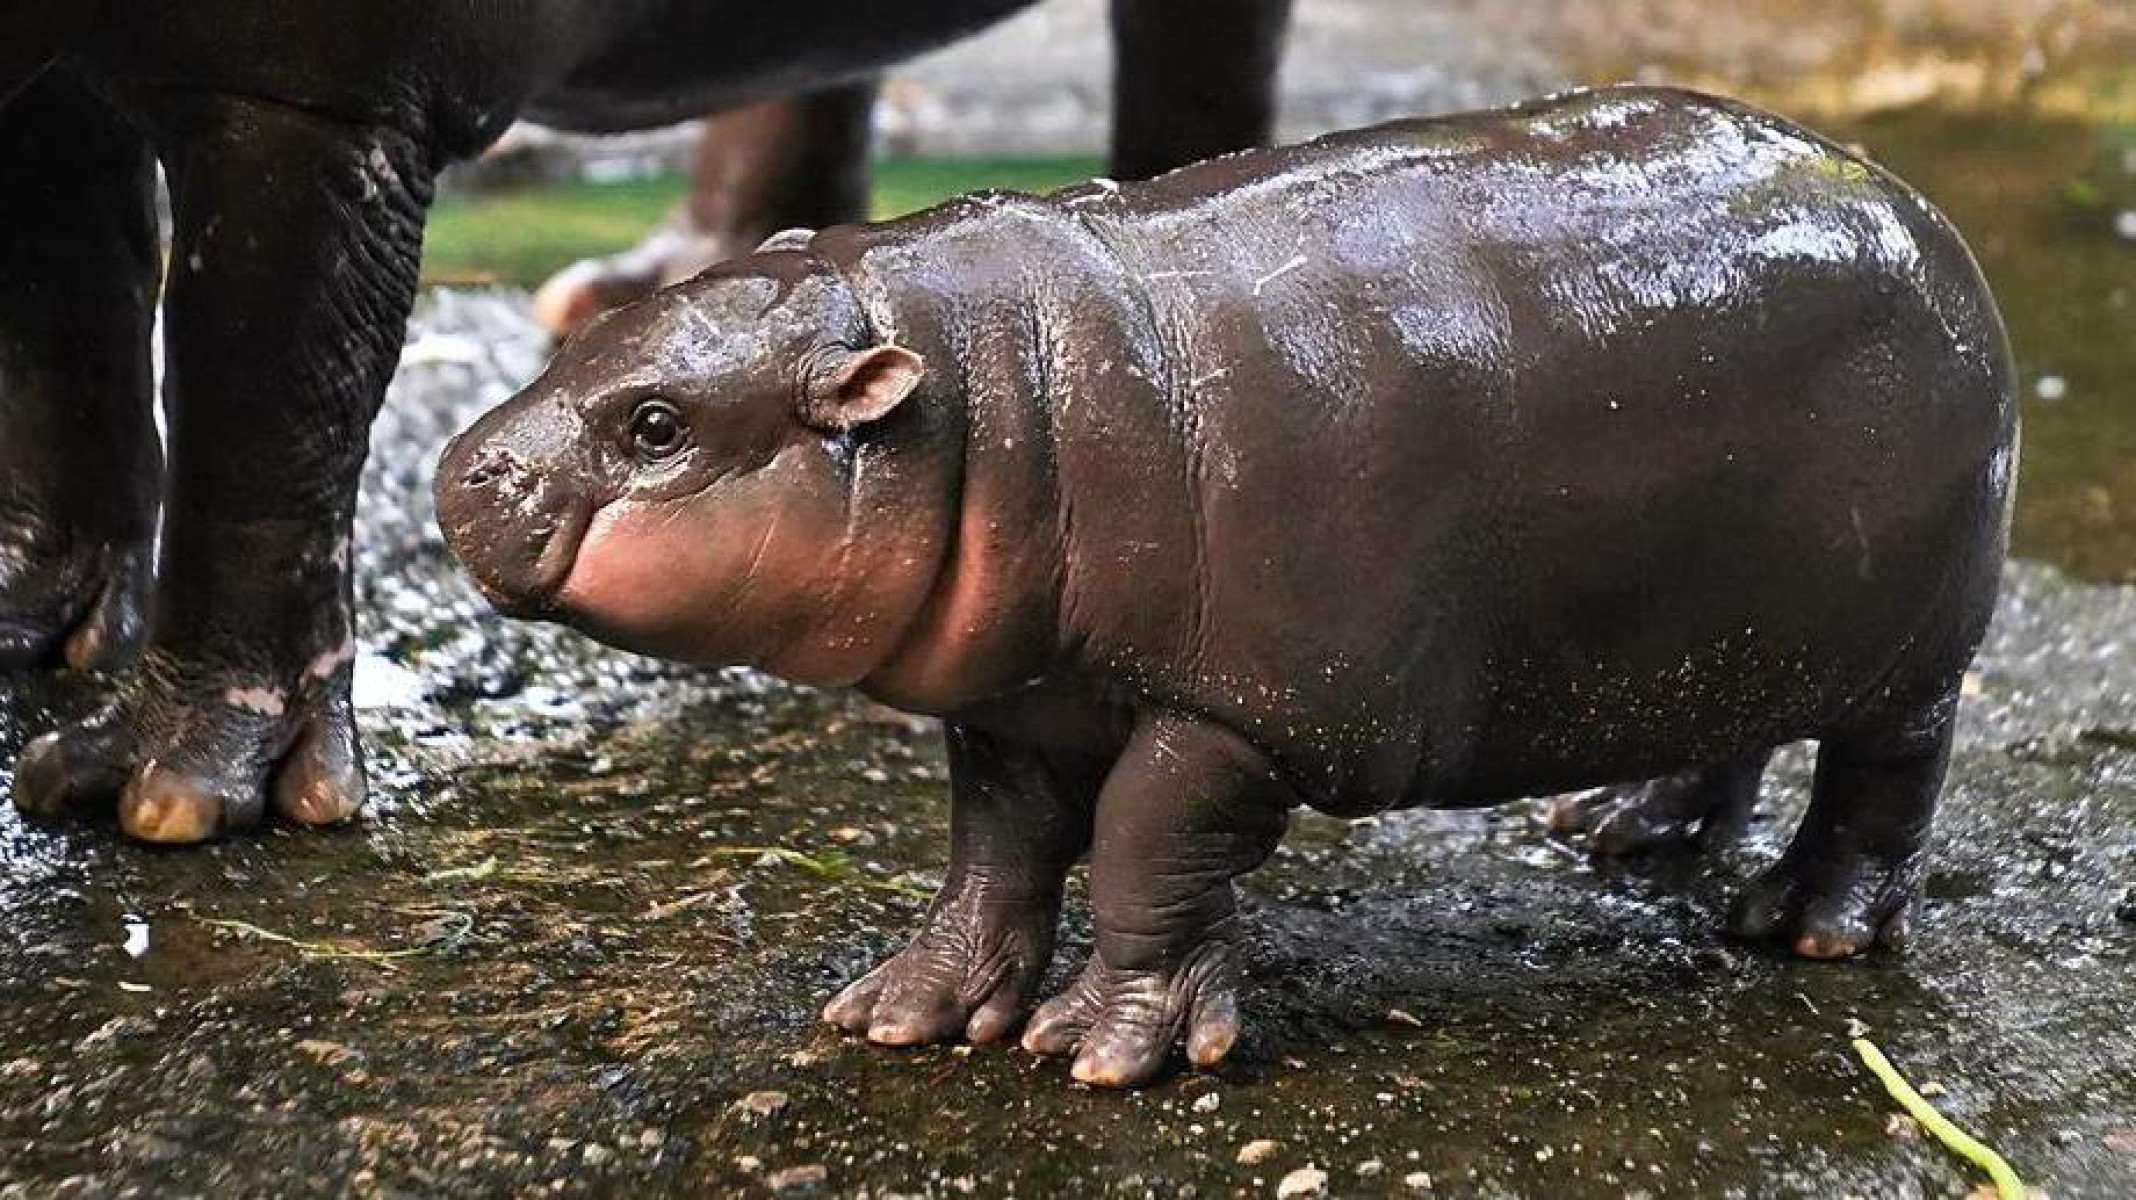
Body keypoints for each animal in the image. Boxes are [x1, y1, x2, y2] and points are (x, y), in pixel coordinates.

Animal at [0, 0, 1290, 841]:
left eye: (658, 431)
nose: (470, 478)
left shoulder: (313, 91)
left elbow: (262, 409)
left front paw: (163, 795)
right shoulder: (54, 96)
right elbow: (68, 325)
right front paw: (30, 619)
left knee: (1201, 52)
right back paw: (652, 278)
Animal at [437, 86, 2016, 1084]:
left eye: (656, 426)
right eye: (605, 327)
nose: (461, 470)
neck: (999, 398)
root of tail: (1914, 205)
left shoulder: (1247, 714)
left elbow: (1142, 840)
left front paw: (1096, 1050)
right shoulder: (1020, 701)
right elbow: (993, 851)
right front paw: (904, 1011)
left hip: (1912, 649)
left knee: (1888, 777)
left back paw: (1802, 927)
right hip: (1724, 613)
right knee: (1729, 730)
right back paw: (1621, 833)